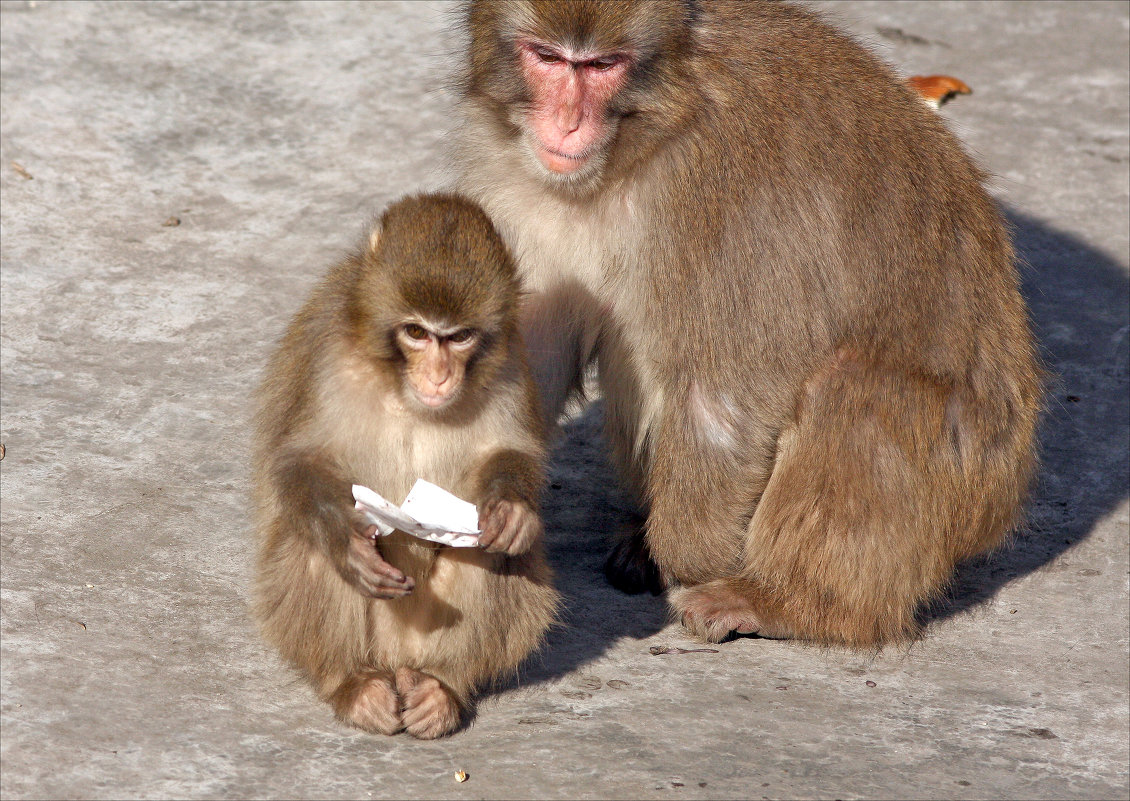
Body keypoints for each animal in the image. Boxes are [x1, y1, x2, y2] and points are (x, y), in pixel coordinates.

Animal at [253, 193, 560, 736]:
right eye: (417, 332)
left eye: (458, 337)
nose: (438, 376)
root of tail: (397, 661)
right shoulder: (327, 353)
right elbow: (299, 459)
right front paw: (348, 545)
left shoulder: (508, 360)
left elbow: (510, 453)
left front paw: (514, 514)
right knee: (313, 545)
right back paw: (354, 684)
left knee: (485, 552)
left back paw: (442, 688)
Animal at [452, 0, 1039, 646]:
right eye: (548, 58)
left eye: (603, 65)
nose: (567, 124)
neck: (640, 147)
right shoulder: (519, 179)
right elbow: (527, 355)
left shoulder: (720, 193)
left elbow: (722, 396)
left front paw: (687, 558)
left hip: (965, 485)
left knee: (854, 388)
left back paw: (791, 602)